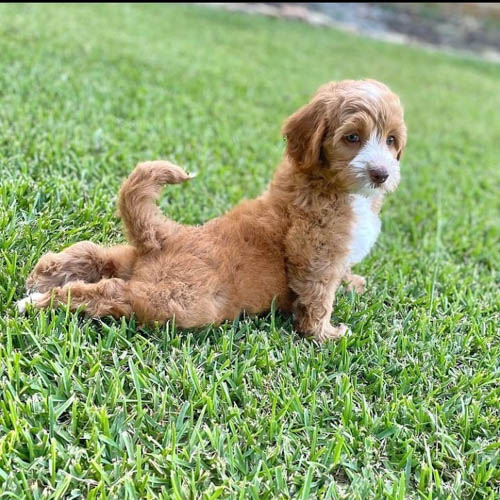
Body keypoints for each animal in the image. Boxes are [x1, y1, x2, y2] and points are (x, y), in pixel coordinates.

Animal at [19, 79, 406, 344]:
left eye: (391, 140)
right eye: (352, 138)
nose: (381, 174)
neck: (338, 188)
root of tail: (167, 235)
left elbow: (342, 274)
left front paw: (353, 283)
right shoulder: (316, 251)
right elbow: (318, 296)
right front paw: (325, 333)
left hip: (134, 261)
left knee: (95, 255)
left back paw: (41, 278)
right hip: (175, 301)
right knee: (108, 294)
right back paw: (40, 302)